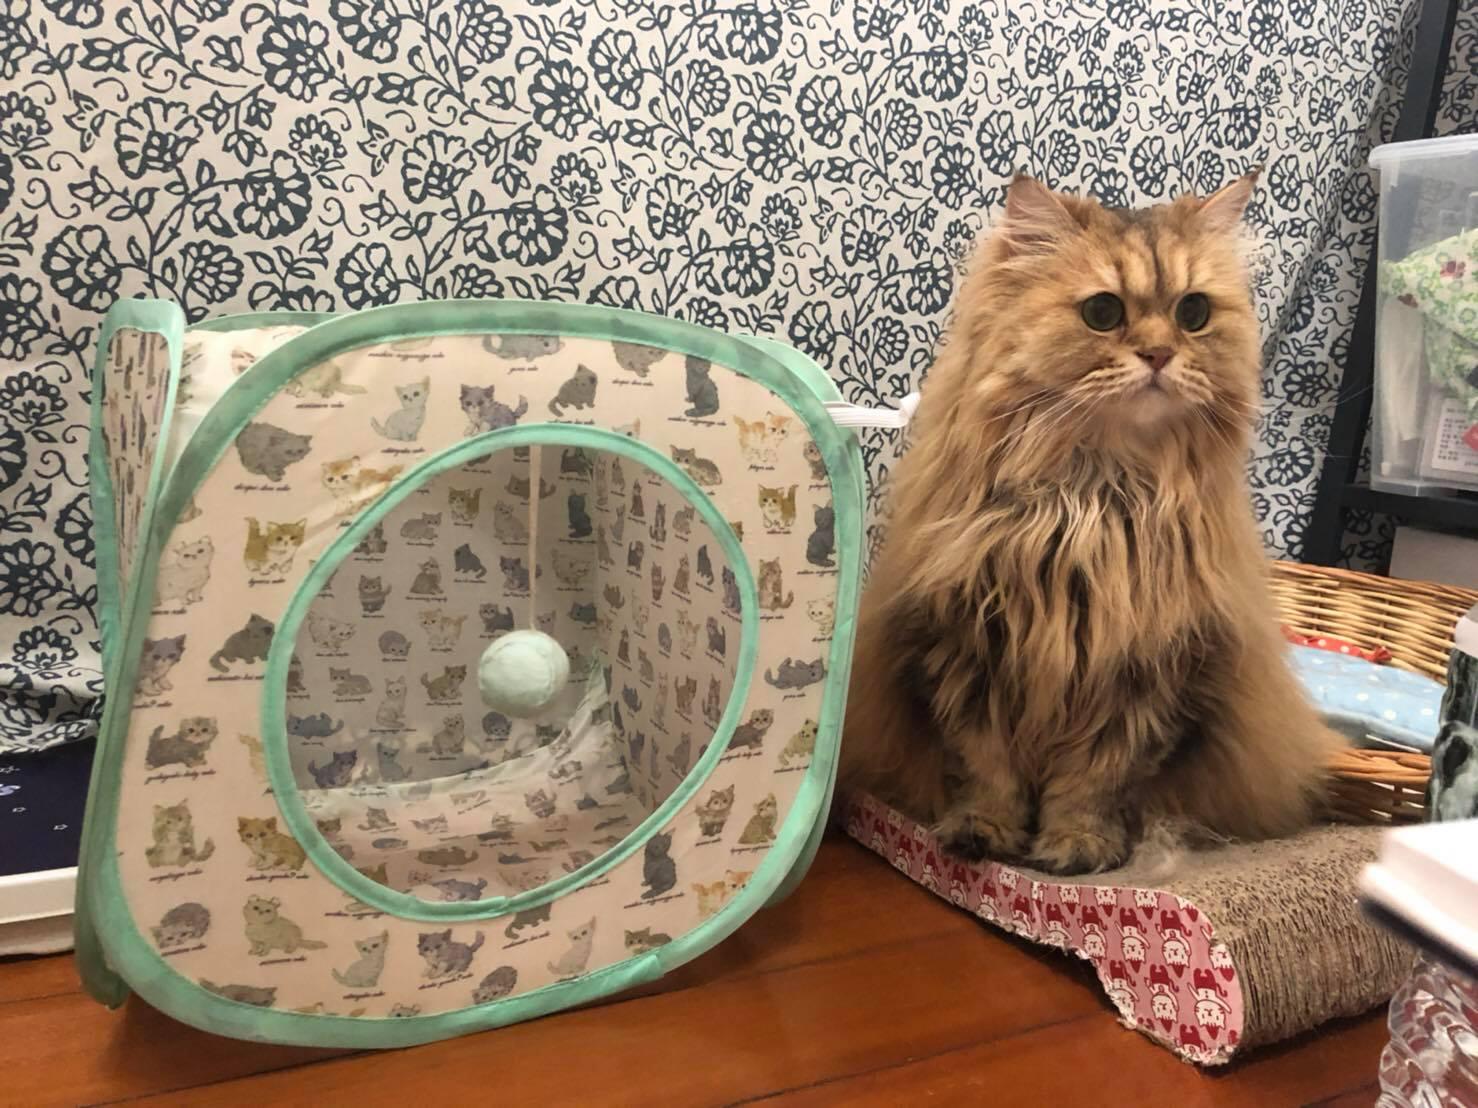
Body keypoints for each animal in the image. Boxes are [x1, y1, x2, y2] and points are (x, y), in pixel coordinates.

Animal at [841, 173, 1341, 876]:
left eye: (1193, 313)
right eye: (1103, 313)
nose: (1159, 354)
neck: (1095, 498)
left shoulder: (1147, 678)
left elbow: (1096, 781)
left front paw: (1077, 845)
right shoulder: (966, 655)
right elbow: (986, 770)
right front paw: (984, 832)